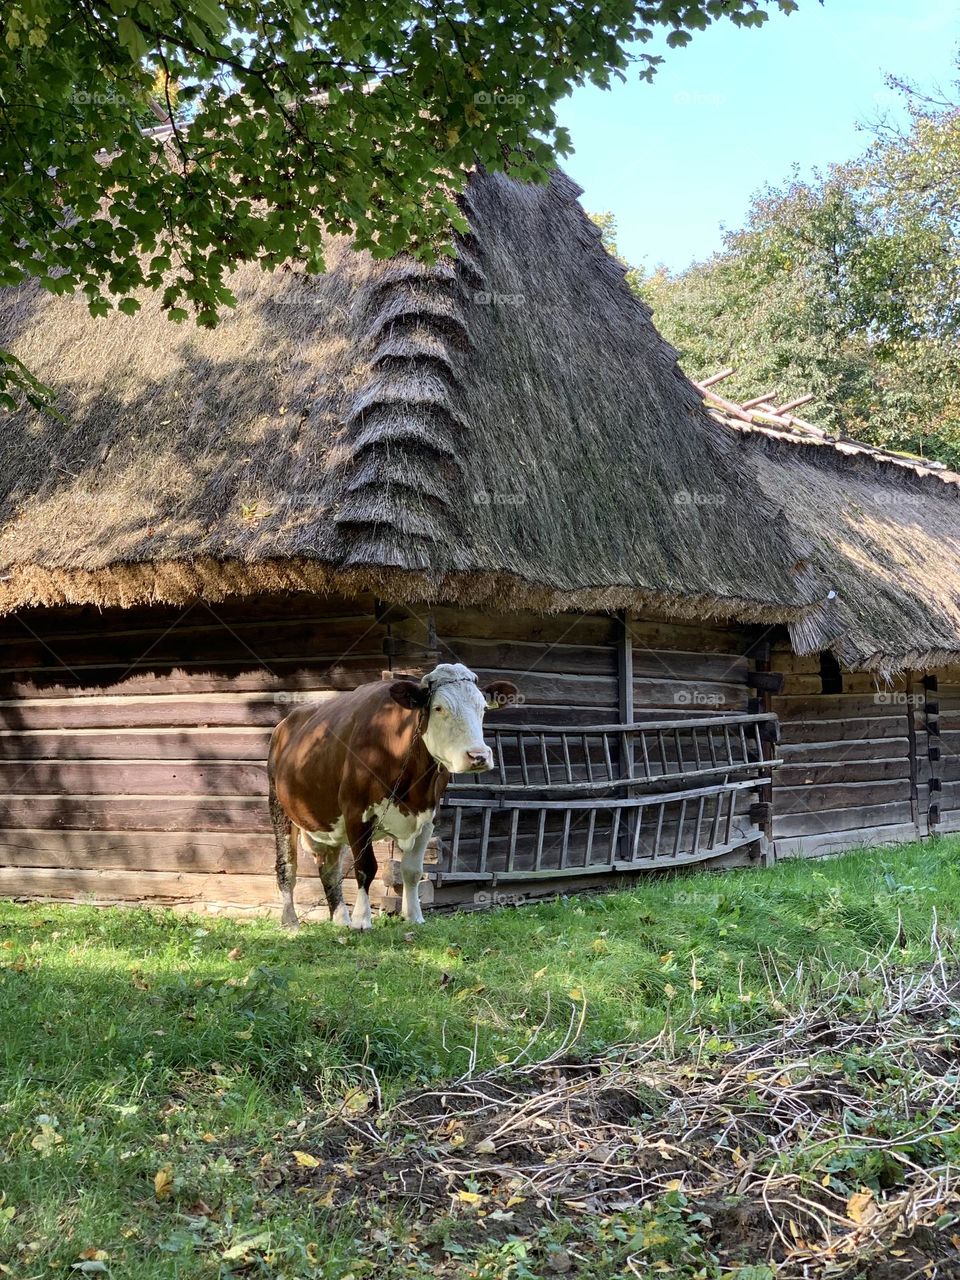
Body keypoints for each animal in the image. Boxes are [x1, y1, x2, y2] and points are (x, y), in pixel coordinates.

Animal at [267, 663, 519, 931]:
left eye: (482, 708)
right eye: (439, 708)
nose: (478, 756)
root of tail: (284, 724)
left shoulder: (428, 817)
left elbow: (412, 870)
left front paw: (414, 916)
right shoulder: (356, 812)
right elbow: (366, 867)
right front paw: (362, 920)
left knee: (330, 869)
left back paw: (340, 919)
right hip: (279, 808)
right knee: (287, 867)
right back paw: (291, 922)